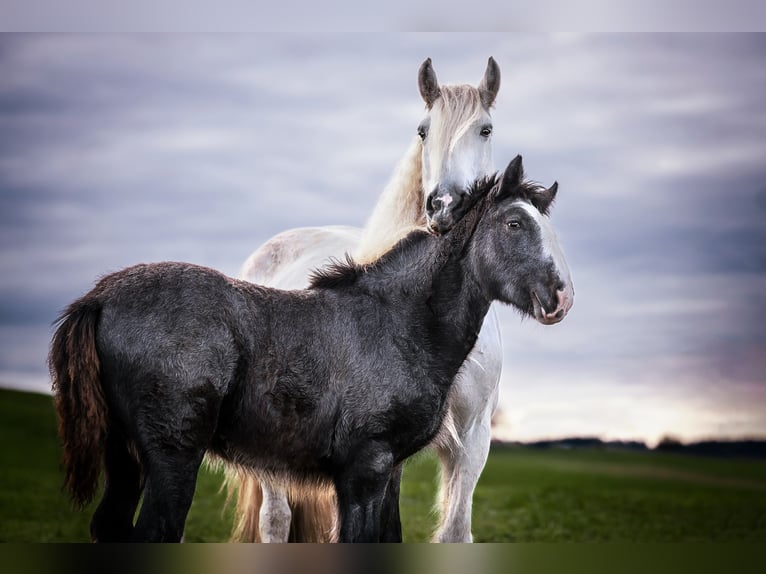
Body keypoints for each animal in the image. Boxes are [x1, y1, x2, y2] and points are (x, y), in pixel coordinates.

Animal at [226, 57, 504, 544]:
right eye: (422, 131)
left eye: (485, 129)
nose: (445, 206)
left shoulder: (471, 438)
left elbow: (453, 532)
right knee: (276, 520)